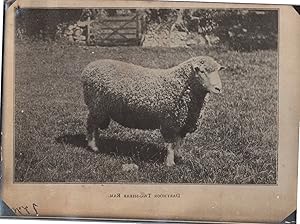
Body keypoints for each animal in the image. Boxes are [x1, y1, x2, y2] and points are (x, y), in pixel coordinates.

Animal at [81, 56, 224, 166]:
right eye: (201, 71)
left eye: (218, 71)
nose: (218, 88)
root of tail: (90, 66)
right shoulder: (169, 123)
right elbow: (171, 145)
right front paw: (169, 163)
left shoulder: (182, 123)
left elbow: (178, 143)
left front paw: (178, 158)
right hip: (97, 106)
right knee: (91, 125)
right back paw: (93, 146)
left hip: (99, 109)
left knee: (94, 126)